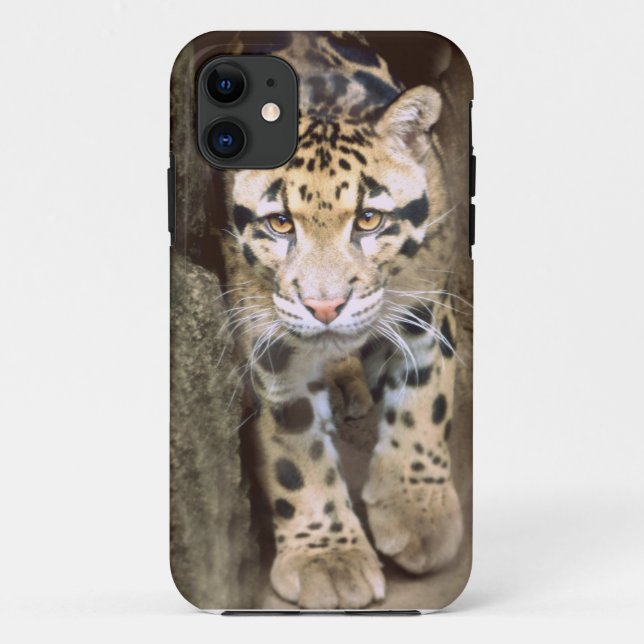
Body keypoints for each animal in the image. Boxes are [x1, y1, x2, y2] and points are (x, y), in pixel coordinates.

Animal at [221, 32, 465, 609]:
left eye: (369, 219)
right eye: (280, 224)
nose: (326, 306)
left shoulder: (425, 304)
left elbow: (426, 398)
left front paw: (418, 510)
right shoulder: (271, 343)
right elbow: (295, 447)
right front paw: (326, 556)